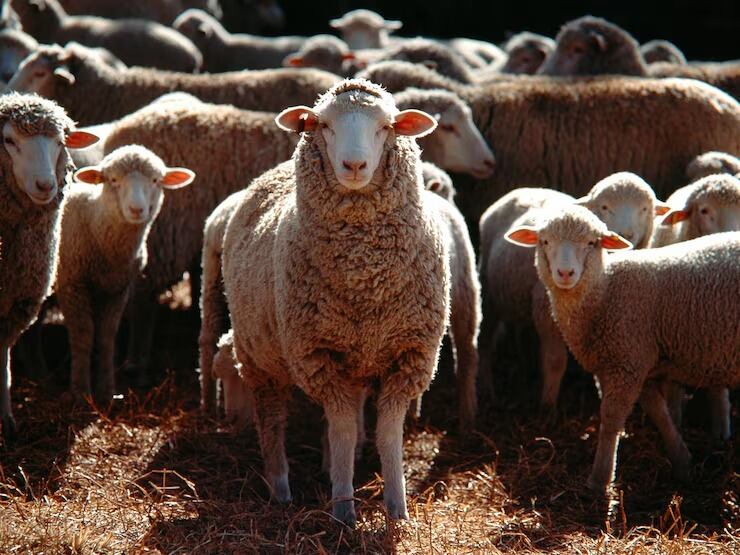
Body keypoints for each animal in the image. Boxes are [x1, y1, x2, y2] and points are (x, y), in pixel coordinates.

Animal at [0, 92, 98, 439]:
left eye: (60, 142)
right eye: (8, 140)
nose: (45, 185)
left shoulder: (19, 302)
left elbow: (2, 361)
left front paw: (6, 420)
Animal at [55, 145, 194, 400]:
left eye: (155, 180)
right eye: (113, 180)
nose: (137, 209)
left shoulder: (118, 288)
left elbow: (107, 336)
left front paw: (107, 391)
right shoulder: (72, 283)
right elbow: (83, 335)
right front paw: (80, 391)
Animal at [219, 79, 448, 525]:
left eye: (386, 126)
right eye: (324, 125)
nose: (354, 165)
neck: (364, 276)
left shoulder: (409, 355)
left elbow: (387, 434)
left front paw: (397, 509)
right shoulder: (318, 355)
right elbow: (341, 429)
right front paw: (343, 509)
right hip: (259, 357)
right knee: (271, 421)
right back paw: (281, 489)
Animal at [505, 205, 740, 492]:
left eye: (591, 243)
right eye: (545, 241)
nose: (565, 273)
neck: (606, 290)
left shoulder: (626, 361)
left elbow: (611, 418)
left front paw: (600, 479)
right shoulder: (633, 361)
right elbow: (658, 412)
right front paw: (682, 461)